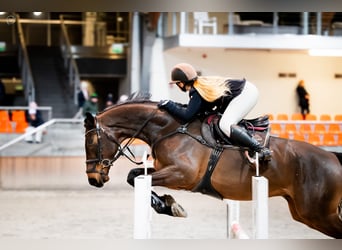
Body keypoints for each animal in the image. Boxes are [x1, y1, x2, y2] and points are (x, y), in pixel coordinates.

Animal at [84, 98, 342, 238]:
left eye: (92, 142)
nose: (93, 179)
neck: (169, 128)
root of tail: (333, 158)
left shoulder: (182, 174)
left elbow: (132, 176)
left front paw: (170, 206)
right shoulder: (162, 171)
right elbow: (135, 176)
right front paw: (169, 205)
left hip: (318, 214)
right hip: (304, 213)